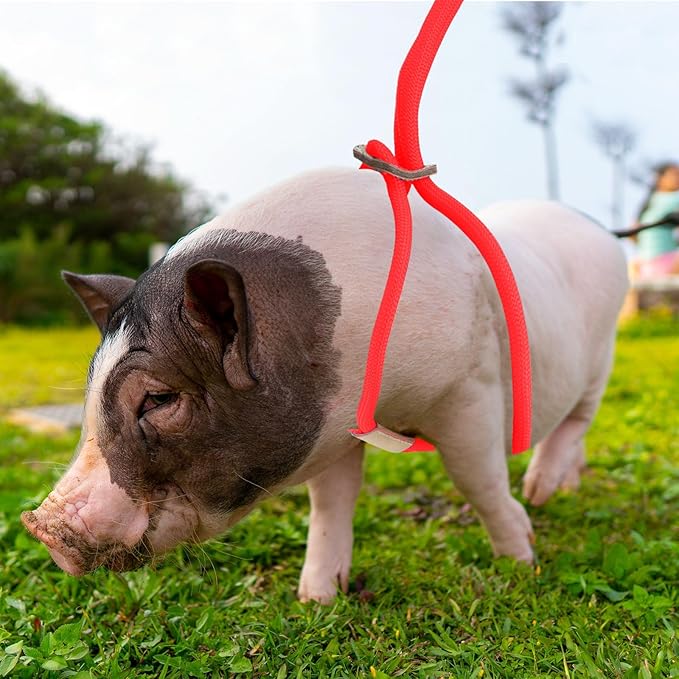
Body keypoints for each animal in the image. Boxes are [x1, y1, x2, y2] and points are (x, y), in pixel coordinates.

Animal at [22, 168, 628, 603]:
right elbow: (332, 503)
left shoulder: (468, 387)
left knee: (578, 419)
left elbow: (477, 480)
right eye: (91, 386)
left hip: (603, 354)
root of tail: (603, 231)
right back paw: (562, 491)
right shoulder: (335, 425)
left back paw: (540, 491)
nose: (41, 526)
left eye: (159, 399)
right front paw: (316, 599)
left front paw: (521, 560)